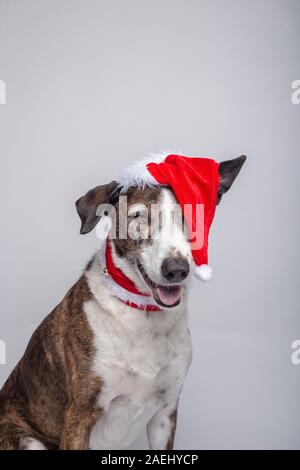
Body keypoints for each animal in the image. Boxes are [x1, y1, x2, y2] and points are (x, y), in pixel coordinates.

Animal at [0, 152, 245, 450]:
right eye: (139, 217)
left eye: (190, 217)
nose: (176, 269)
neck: (143, 314)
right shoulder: (80, 415)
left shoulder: (165, 413)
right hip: (26, 439)